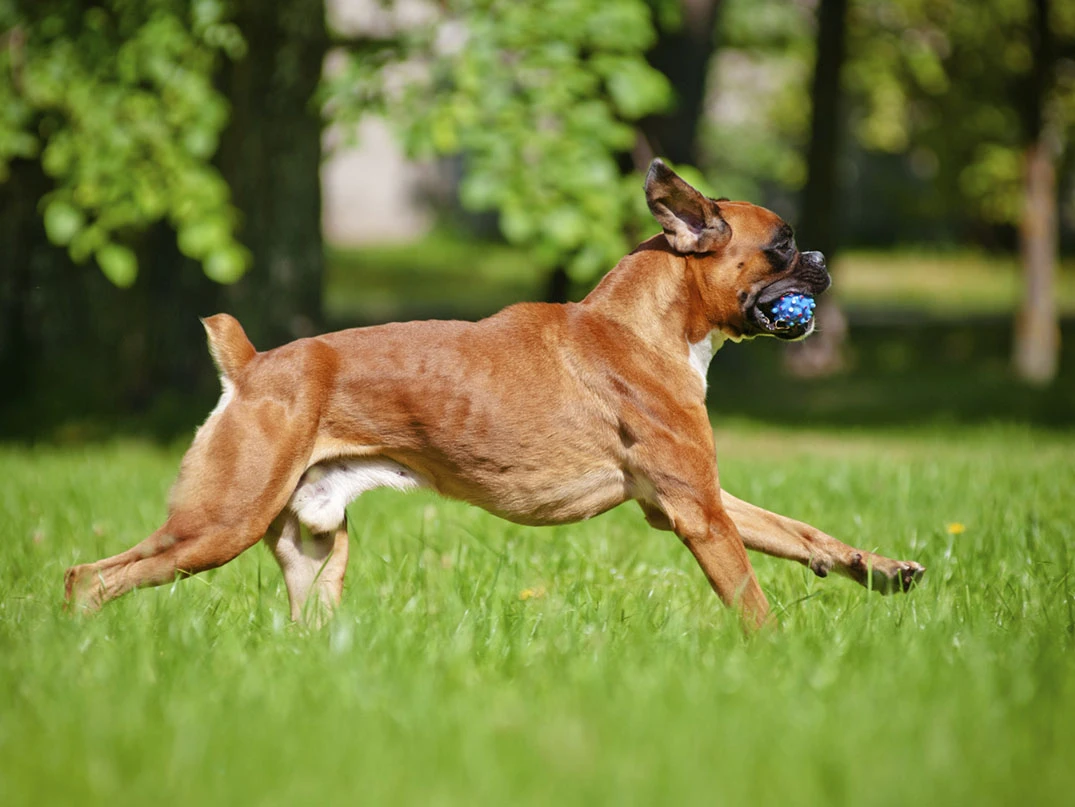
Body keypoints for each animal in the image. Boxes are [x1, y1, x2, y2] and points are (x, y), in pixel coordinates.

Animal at [65, 161, 924, 631]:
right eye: (780, 245)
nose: (819, 259)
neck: (643, 322)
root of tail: (251, 367)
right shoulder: (695, 512)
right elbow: (750, 597)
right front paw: (775, 657)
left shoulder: (699, 498)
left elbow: (801, 533)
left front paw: (877, 569)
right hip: (216, 524)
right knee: (89, 578)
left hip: (314, 548)